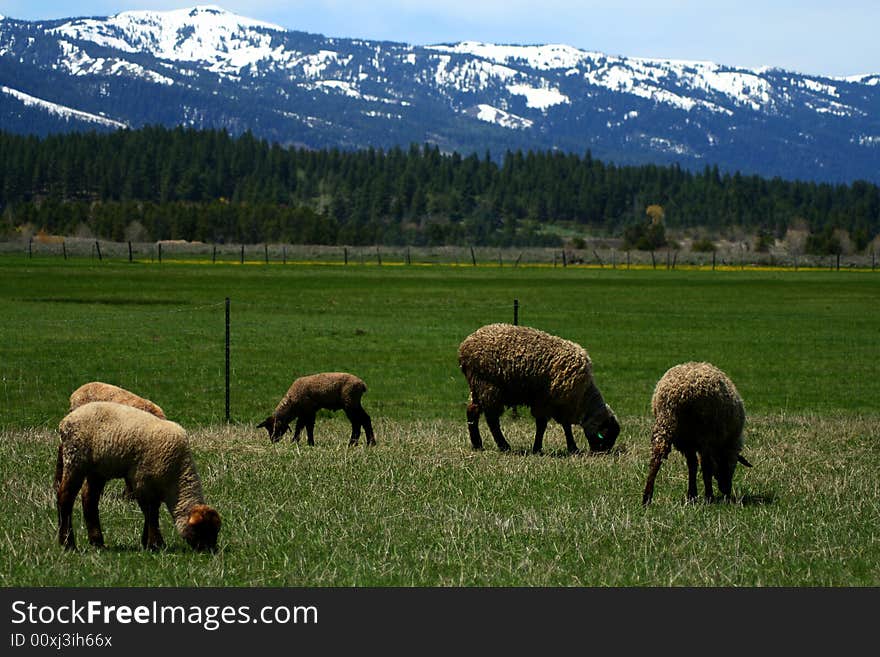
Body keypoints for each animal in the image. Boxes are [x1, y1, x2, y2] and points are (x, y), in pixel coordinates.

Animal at [55, 402, 222, 552]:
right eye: (201, 530)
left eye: (215, 531)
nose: (211, 551)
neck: (176, 475)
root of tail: (65, 421)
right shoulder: (142, 481)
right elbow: (151, 513)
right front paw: (156, 544)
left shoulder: (150, 487)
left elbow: (151, 512)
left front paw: (147, 542)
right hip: (75, 459)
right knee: (65, 497)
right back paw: (68, 544)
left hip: (98, 470)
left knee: (89, 499)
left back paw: (97, 543)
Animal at [458, 322, 624, 454]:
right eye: (606, 436)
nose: (600, 453)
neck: (583, 397)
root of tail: (464, 347)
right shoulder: (547, 401)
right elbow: (542, 425)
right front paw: (538, 448)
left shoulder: (561, 404)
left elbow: (566, 426)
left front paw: (572, 448)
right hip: (489, 386)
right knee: (492, 419)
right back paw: (504, 446)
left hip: (477, 387)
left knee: (472, 411)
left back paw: (477, 444)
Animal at [644, 362, 752, 504]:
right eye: (731, 465)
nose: (726, 490)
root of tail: (679, 393)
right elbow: (704, 466)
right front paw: (699, 495)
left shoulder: (687, 442)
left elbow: (692, 465)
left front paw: (692, 495)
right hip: (704, 433)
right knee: (706, 466)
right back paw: (709, 496)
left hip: (665, 424)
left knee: (656, 457)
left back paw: (647, 497)